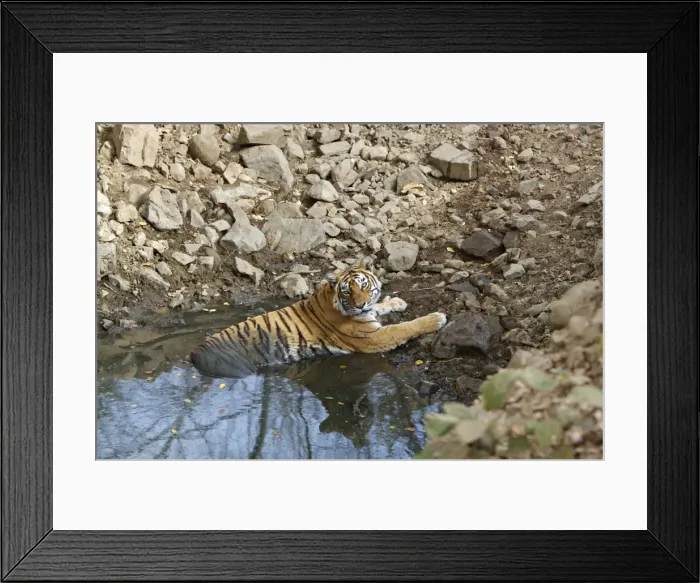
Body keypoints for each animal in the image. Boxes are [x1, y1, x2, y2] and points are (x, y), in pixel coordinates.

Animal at [188, 263, 447, 378]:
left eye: (363, 286)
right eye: (347, 292)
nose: (360, 304)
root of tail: (195, 353)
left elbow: (380, 307)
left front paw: (397, 302)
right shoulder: (373, 337)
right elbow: (405, 327)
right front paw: (437, 318)